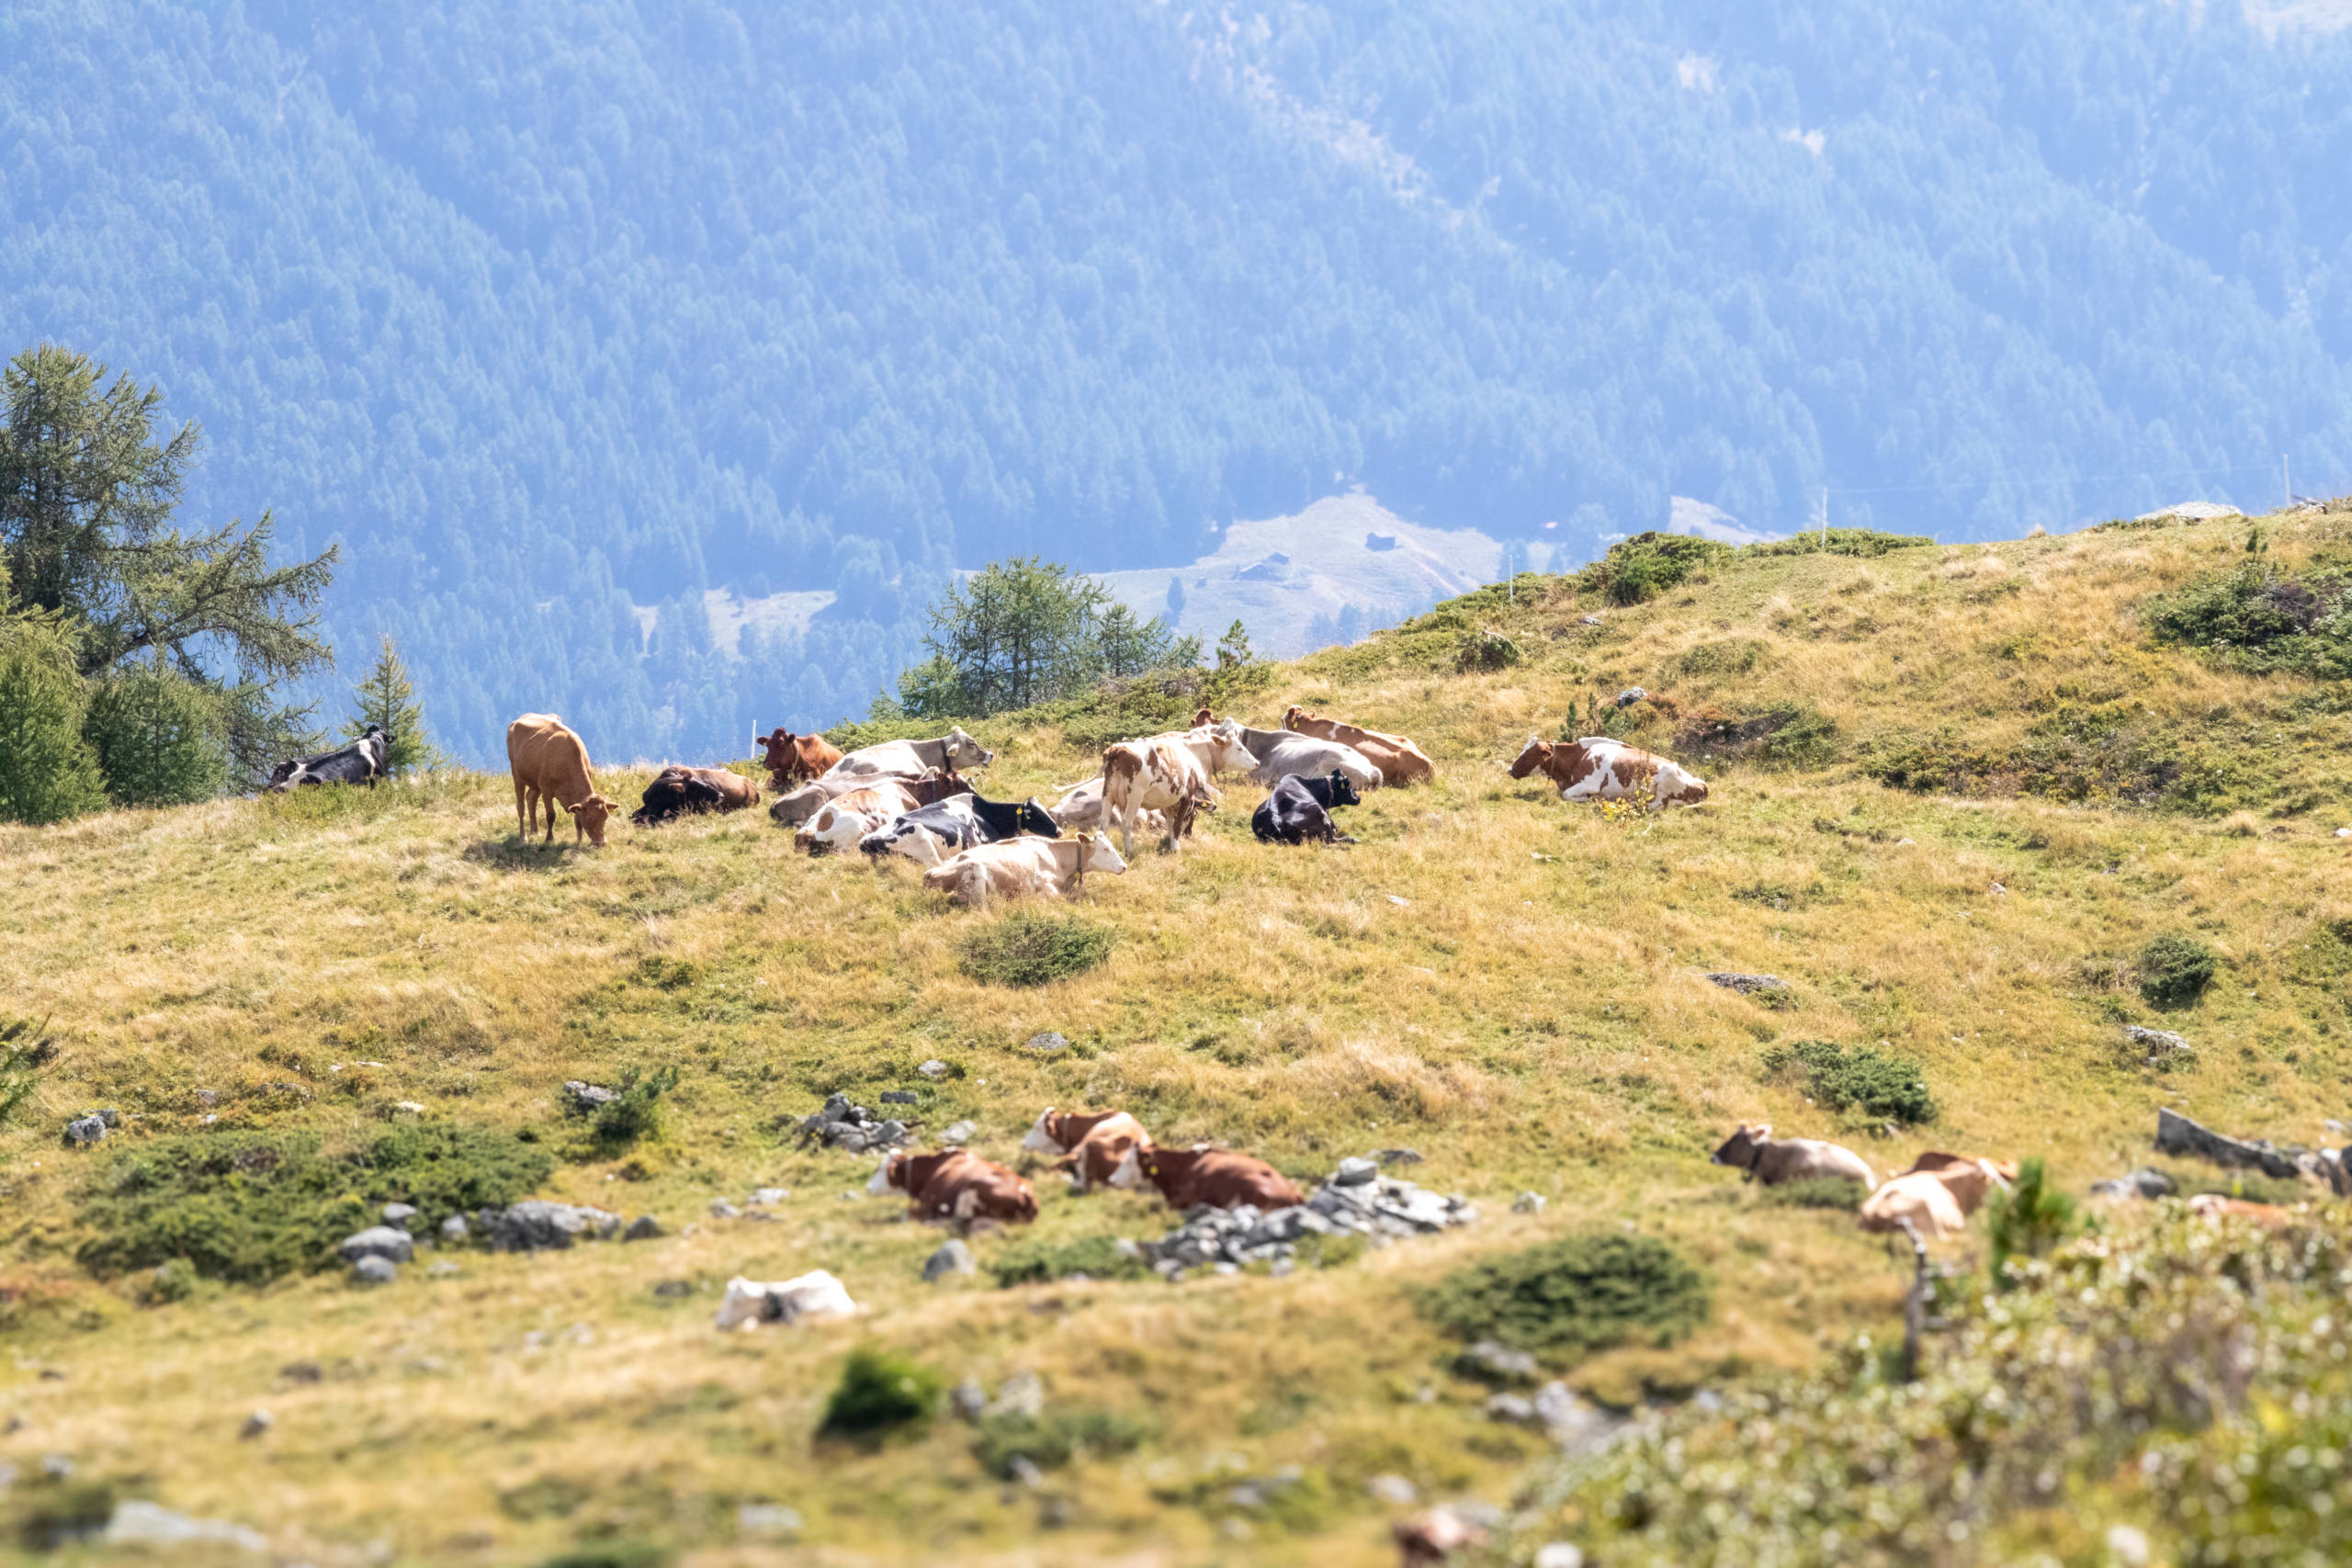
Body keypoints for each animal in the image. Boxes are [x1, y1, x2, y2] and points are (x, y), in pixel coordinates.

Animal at [506, 714, 619, 847]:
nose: (601, 843)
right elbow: (551, 815)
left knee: (531, 799)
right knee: (521, 806)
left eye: (605, 817)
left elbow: (577, 819)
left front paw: (578, 841)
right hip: (517, 774)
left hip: (535, 782)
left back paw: (535, 831)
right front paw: (549, 839)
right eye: (590, 818)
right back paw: (523, 836)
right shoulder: (546, 789)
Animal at [920, 832, 1129, 905]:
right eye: (1105, 848)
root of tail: (929, 874)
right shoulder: (1042, 881)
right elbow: (1055, 896)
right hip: (976, 874)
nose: (1124, 866)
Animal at [1100, 725, 1253, 856]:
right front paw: (1176, 849)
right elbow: (1177, 824)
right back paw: (1129, 851)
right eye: (1239, 748)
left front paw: (1172, 843)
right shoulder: (1187, 797)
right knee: (1126, 823)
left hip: (1108, 795)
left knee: (1103, 824)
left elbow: (1170, 824)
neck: (1193, 752)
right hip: (1134, 797)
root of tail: (1117, 749)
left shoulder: (1167, 801)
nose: (1256, 763)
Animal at [1509, 735, 1708, 809]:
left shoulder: (1590, 784)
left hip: (1664, 781)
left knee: (1656, 804)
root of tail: (1701, 784)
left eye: (1528, 754)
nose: (1510, 769)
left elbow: (1566, 795)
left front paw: (1590, 799)